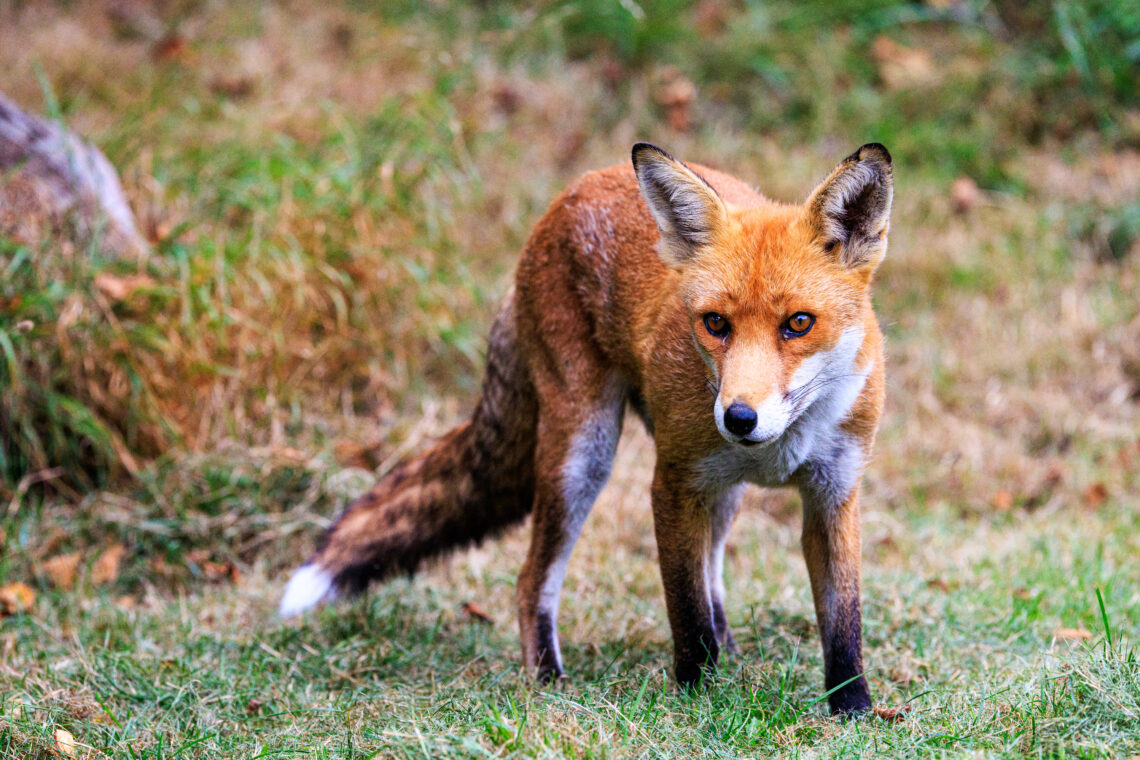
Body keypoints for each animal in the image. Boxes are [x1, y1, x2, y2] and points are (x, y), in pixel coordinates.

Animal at [278, 139, 889, 715]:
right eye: (716, 323)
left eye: (799, 323)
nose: (738, 418)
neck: (781, 447)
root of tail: (572, 194)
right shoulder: (672, 484)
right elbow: (685, 611)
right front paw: (697, 698)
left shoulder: (834, 493)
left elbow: (842, 621)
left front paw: (853, 710)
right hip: (583, 453)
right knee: (532, 580)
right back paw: (548, 678)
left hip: (717, 489)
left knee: (712, 564)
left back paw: (729, 646)